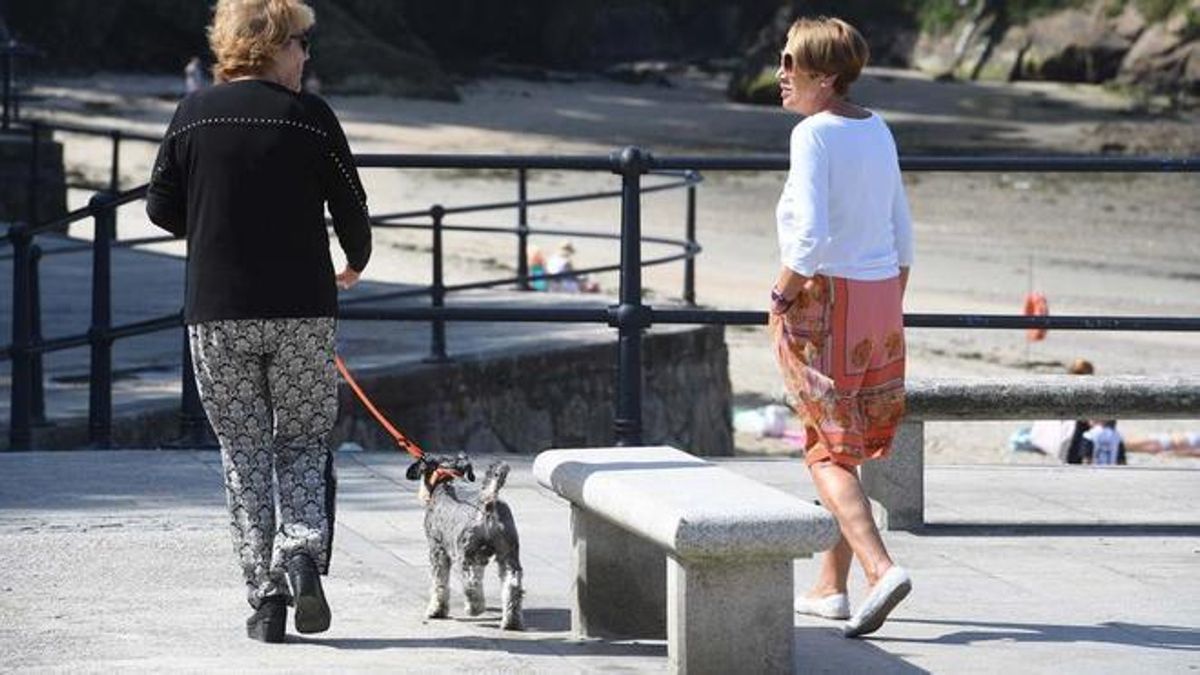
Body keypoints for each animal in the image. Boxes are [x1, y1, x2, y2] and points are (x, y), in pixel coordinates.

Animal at [408, 454, 525, 629]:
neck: (446, 481)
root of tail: (488, 503)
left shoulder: (437, 550)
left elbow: (439, 582)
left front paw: (436, 610)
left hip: (466, 554)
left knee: (471, 583)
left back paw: (474, 609)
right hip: (508, 555)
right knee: (512, 584)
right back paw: (512, 621)